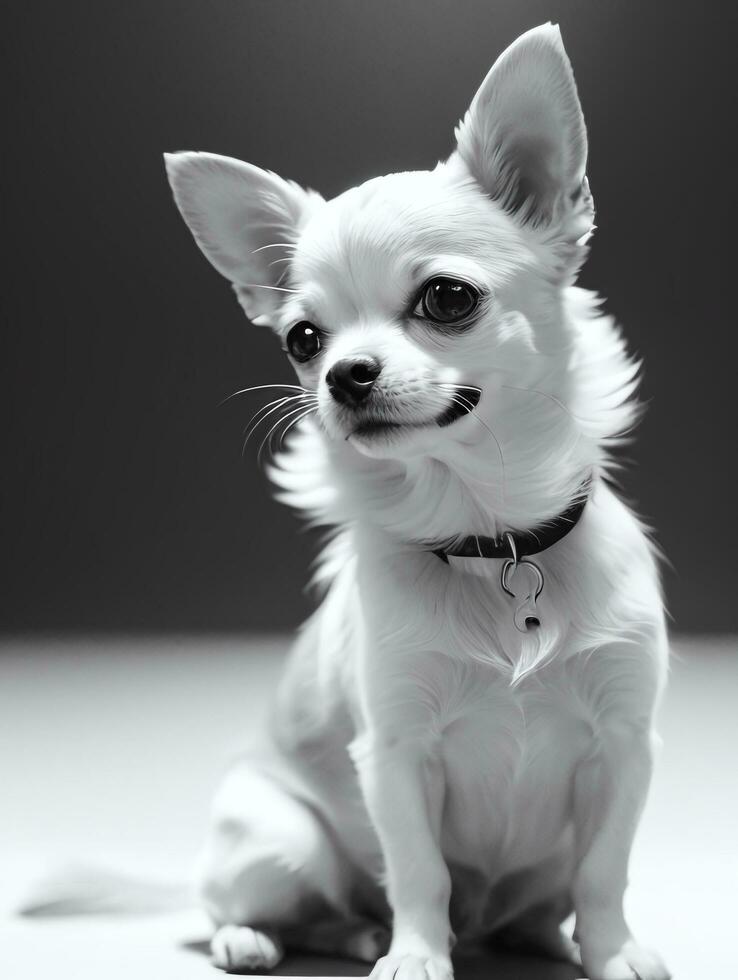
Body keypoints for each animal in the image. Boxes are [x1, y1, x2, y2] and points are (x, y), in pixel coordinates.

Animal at [165, 21, 668, 980]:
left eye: (446, 297)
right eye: (302, 338)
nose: (343, 373)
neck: (492, 540)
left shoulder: (623, 746)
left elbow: (606, 869)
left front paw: (615, 952)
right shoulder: (396, 754)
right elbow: (419, 871)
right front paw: (418, 957)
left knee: (532, 903)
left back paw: (531, 937)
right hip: (280, 839)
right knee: (242, 905)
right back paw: (273, 937)